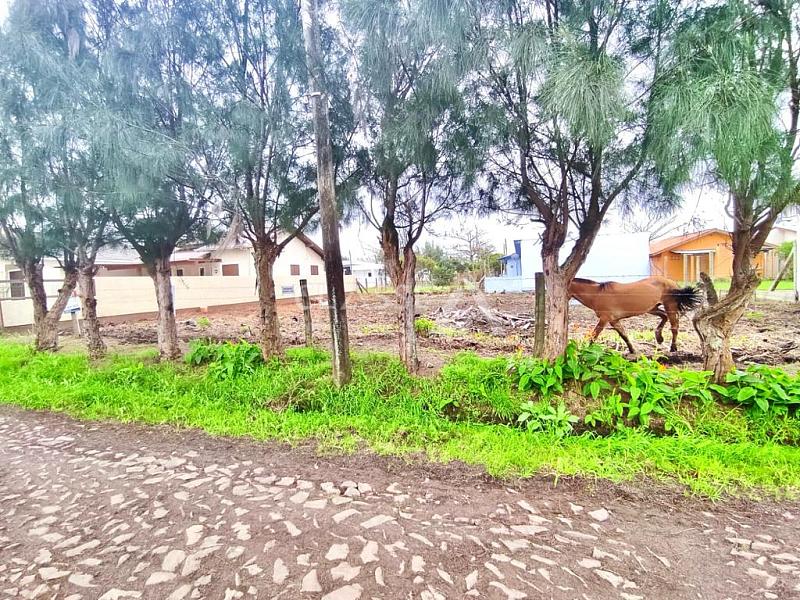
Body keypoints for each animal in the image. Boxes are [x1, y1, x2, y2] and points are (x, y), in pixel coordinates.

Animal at [568, 276, 702, 354]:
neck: (597, 294)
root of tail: (673, 283)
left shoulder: (604, 319)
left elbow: (594, 335)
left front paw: (586, 350)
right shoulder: (614, 320)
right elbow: (624, 335)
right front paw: (632, 350)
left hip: (670, 307)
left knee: (674, 326)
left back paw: (673, 348)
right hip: (652, 308)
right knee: (664, 317)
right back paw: (659, 337)